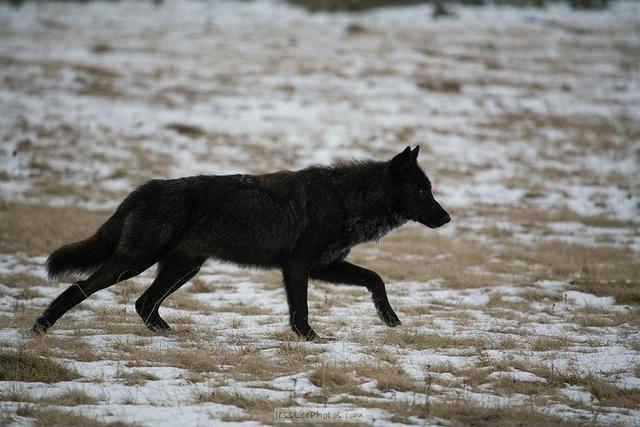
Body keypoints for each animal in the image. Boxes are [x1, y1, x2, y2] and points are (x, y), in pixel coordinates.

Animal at [33, 147, 450, 342]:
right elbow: (300, 310)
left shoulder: (324, 267)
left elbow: (376, 279)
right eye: (422, 191)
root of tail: (145, 188)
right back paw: (40, 328)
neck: (347, 200)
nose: (447, 218)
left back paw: (170, 335)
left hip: (183, 268)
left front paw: (389, 319)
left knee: (144, 303)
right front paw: (310, 339)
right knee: (80, 288)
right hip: (135, 262)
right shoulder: (298, 267)